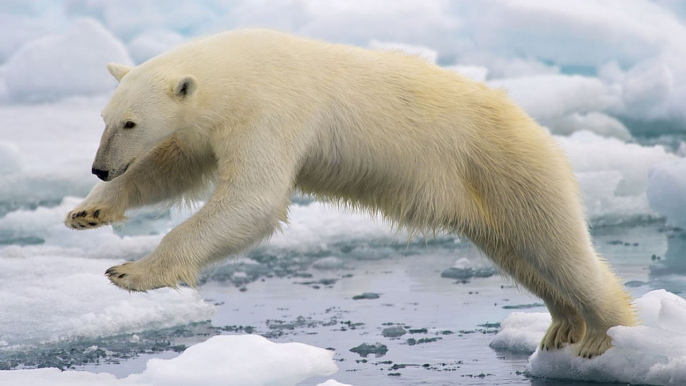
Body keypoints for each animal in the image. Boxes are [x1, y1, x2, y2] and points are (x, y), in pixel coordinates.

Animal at [67, 28, 636, 358]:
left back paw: (604, 335)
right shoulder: (211, 125)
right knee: (520, 255)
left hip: (508, 167)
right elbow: (172, 167)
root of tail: (535, 127)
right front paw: (88, 211)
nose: (99, 167)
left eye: (130, 122)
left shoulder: (272, 110)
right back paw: (562, 325)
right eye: (105, 118)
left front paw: (130, 272)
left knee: (558, 248)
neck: (238, 69)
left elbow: (253, 198)